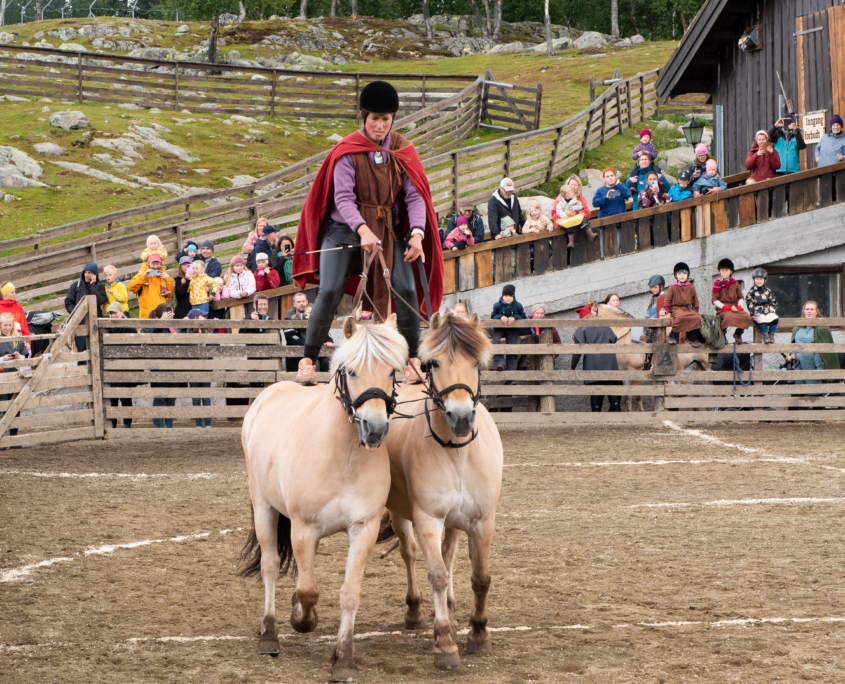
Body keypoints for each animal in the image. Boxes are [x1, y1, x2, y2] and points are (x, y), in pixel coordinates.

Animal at [237, 316, 408, 684]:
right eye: (352, 371)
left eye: (392, 372)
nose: (375, 429)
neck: (343, 456)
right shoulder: (303, 529)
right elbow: (308, 590)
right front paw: (303, 620)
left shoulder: (364, 528)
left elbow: (349, 593)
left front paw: (343, 657)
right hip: (264, 507)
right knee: (270, 565)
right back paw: (269, 634)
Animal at [382, 312, 502, 672]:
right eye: (433, 363)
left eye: (476, 362)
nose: (461, 417)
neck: (457, 452)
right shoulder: (427, 519)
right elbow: (435, 574)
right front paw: (445, 644)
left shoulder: (482, 521)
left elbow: (480, 577)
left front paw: (479, 633)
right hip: (399, 515)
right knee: (409, 554)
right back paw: (414, 611)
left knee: (449, 555)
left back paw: (449, 605)